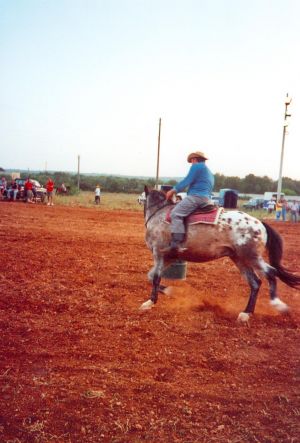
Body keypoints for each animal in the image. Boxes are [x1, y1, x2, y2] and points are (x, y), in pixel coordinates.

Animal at [141, 187, 300, 322]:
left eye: (143, 196)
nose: (139, 198)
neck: (159, 214)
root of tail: (259, 223)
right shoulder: (168, 258)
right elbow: (151, 276)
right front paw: (168, 291)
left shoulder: (158, 253)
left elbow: (155, 278)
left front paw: (150, 302)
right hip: (239, 259)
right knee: (255, 283)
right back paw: (246, 313)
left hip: (251, 257)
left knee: (271, 273)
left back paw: (278, 305)